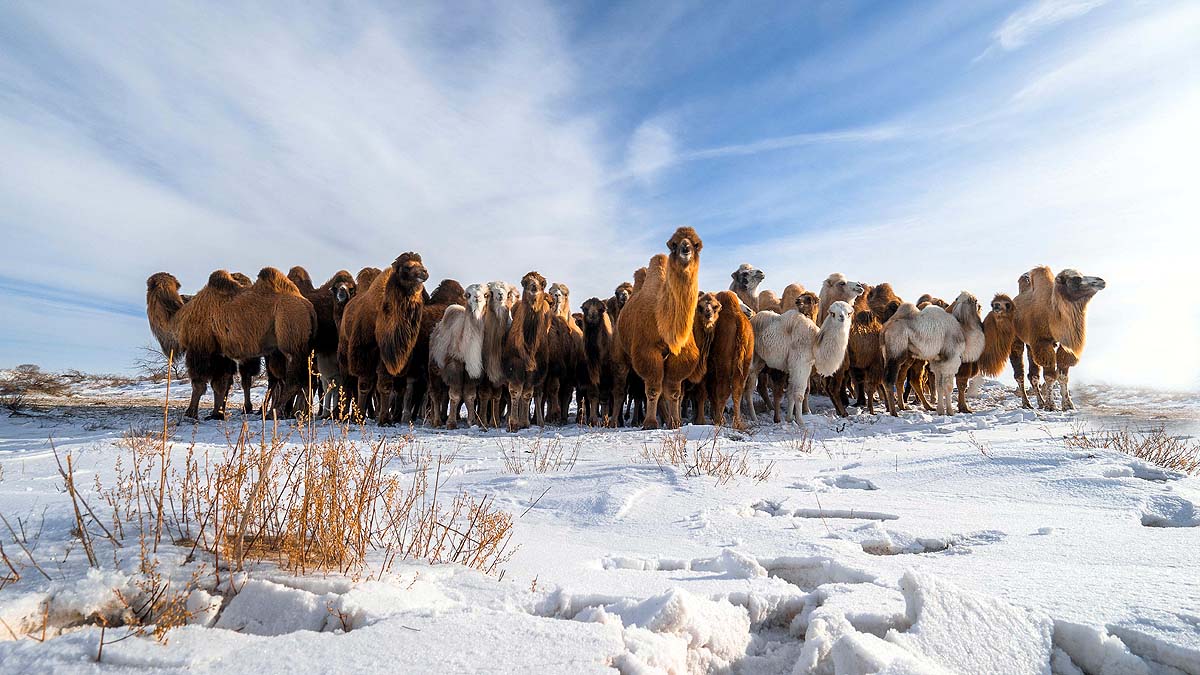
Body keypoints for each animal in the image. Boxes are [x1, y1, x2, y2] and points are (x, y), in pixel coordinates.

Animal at [338, 253, 428, 425]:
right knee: (348, 382)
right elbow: (364, 385)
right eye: (407, 267)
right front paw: (360, 417)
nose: (424, 273)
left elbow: (385, 385)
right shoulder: (365, 352)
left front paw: (385, 419)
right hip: (345, 351)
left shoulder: (387, 355)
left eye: (421, 264)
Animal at [430, 283, 488, 429]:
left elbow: (470, 395)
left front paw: (472, 421)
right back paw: (436, 421)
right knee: (435, 393)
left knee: (444, 394)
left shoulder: (472, 370)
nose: (477, 297)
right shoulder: (454, 364)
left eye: (486, 294)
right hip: (433, 366)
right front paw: (451, 423)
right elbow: (455, 395)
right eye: (468, 294)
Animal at [503, 272, 553, 432]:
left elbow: (527, 394)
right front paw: (513, 423)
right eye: (524, 282)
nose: (534, 287)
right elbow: (515, 392)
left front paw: (524, 422)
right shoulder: (514, 365)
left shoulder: (536, 370)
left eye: (542, 283)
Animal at [612, 227, 703, 430]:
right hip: (621, 353)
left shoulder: (680, 354)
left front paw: (675, 422)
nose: (685, 249)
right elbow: (653, 389)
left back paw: (667, 418)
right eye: (673, 244)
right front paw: (650, 423)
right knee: (620, 388)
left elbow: (673, 391)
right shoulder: (647, 350)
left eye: (696, 244)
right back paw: (613, 421)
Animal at [1010, 267, 1105, 410]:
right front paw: (1051, 406)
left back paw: (1040, 402)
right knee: (1020, 374)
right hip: (1016, 339)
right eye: (1076, 278)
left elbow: (1062, 375)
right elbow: (1050, 376)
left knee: (1033, 375)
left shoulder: (1062, 344)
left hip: (1031, 345)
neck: (1053, 314)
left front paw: (1068, 404)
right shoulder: (1043, 342)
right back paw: (1027, 403)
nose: (1101, 281)